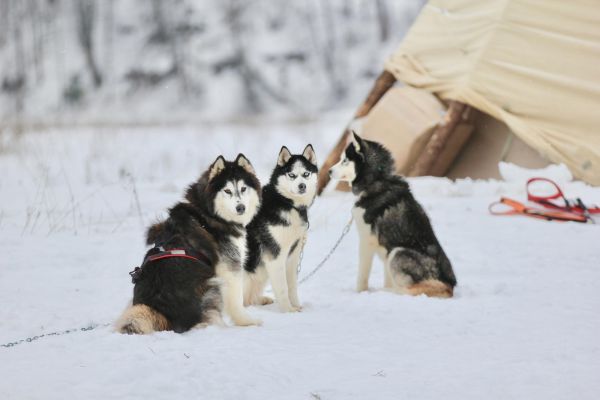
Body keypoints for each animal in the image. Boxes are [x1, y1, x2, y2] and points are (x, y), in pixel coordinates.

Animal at [115, 155, 260, 332]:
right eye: (227, 191)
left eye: (243, 188)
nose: (241, 207)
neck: (208, 214)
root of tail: (161, 311)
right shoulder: (229, 267)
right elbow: (237, 300)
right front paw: (247, 321)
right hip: (212, 284)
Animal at [244, 146, 318, 312]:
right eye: (292, 175)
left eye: (306, 174)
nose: (302, 186)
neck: (288, 203)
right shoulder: (275, 256)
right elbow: (282, 287)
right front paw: (288, 310)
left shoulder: (293, 254)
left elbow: (292, 286)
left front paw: (297, 306)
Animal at [328, 134, 454, 296]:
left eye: (344, 160)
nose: (329, 171)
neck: (375, 181)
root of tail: (449, 286)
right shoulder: (384, 251)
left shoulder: (367, 241)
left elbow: (362, 275)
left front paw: (360, 293)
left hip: (397, 252)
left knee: (408, 290)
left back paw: (388, 292)